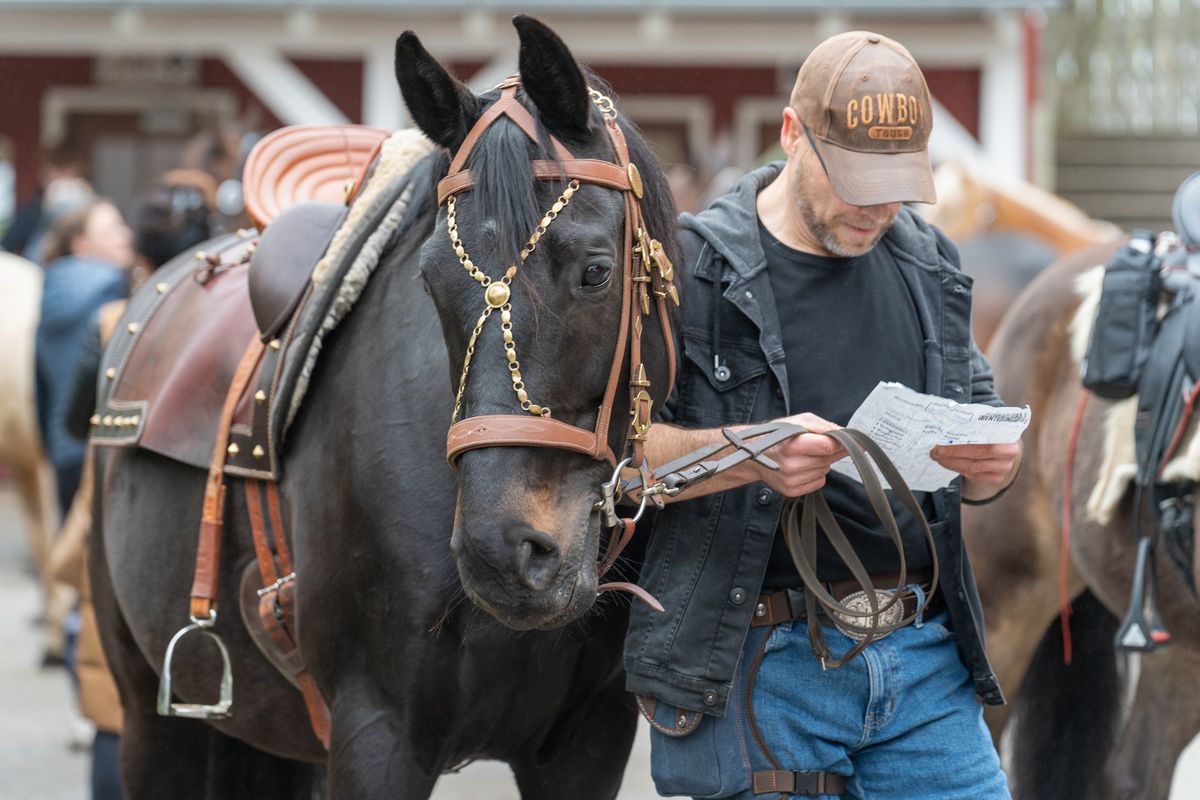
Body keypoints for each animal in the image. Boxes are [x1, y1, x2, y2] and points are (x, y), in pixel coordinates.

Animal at [90, 18, 681, 800]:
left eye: (596, 271)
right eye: (430, 282)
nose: (504, 553)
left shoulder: (587, 744)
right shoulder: (377, 735)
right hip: (152, 719)